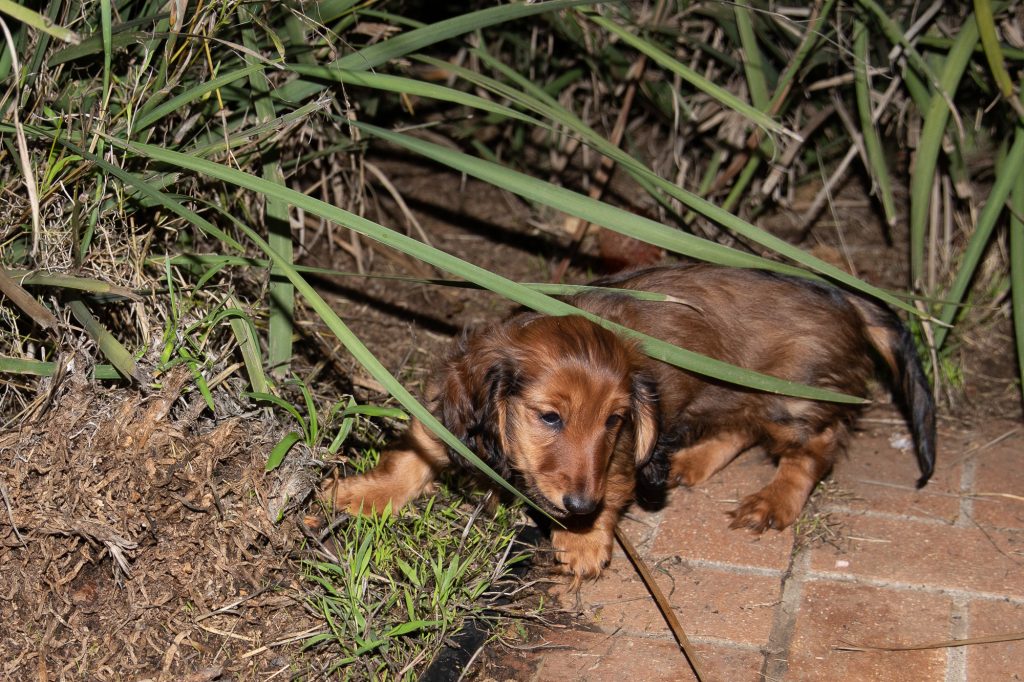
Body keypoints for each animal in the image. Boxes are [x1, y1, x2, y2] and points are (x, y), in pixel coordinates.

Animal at [321, 262, 937, 577]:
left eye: (614, 421)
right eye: (550, 417)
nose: (578, 505)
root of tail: (847, 299)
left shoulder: (619, 455)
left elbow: (614, 487)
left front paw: (583, 538)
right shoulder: (448, 416)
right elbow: (412, 457)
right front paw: (359, 495)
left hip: (791, 400)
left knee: (816, 448)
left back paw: (773, 500)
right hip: (735, 392)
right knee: (739, 427)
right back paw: (688, 460)